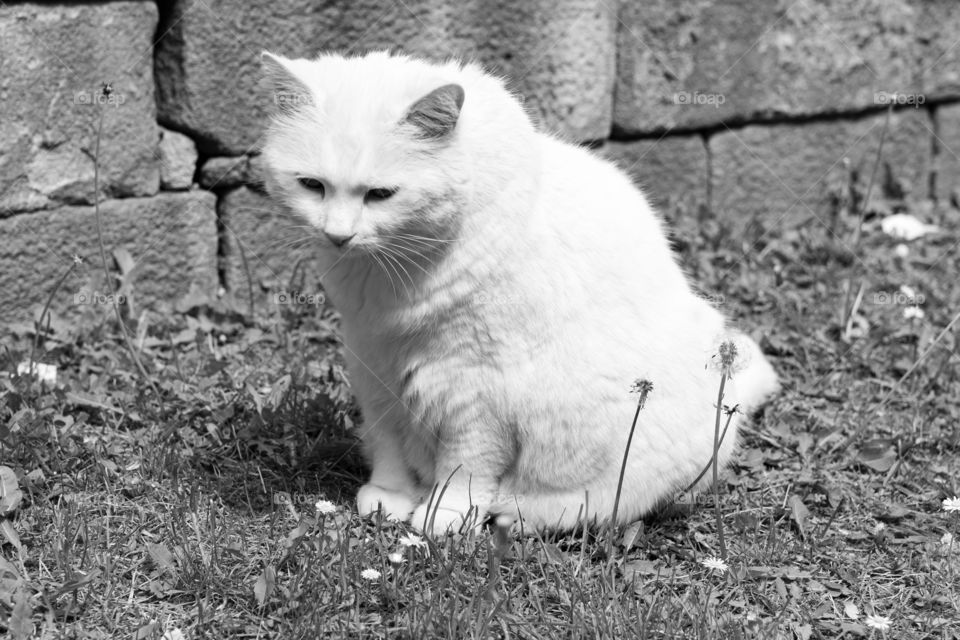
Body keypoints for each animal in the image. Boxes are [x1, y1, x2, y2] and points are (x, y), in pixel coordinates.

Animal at [258, 51, 776, 536]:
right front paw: (390, 498)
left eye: (380, 195)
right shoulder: (374, 364)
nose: (338, 235)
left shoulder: (476, 392)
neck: (389, 271)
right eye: (312, 186)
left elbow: (465, 467)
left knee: (587, 508)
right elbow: (388, 441)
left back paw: (510, 515)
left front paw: (444, 517)